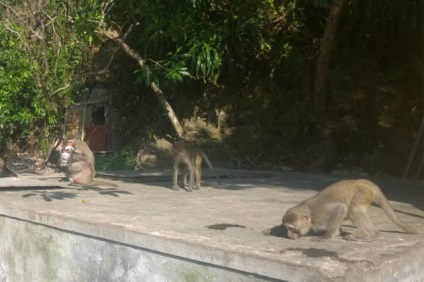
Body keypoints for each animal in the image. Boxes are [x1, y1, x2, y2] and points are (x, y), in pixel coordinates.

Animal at [282, 180, 418, 241]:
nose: (288, 235)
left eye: (291, 229)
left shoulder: (320, 215)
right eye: (287, 228)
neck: (310, 214)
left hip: (363, 193)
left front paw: (327, 236)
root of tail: (368, 183)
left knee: (354, 210)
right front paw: (337, 233)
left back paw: (372, 234)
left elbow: (340, 208)